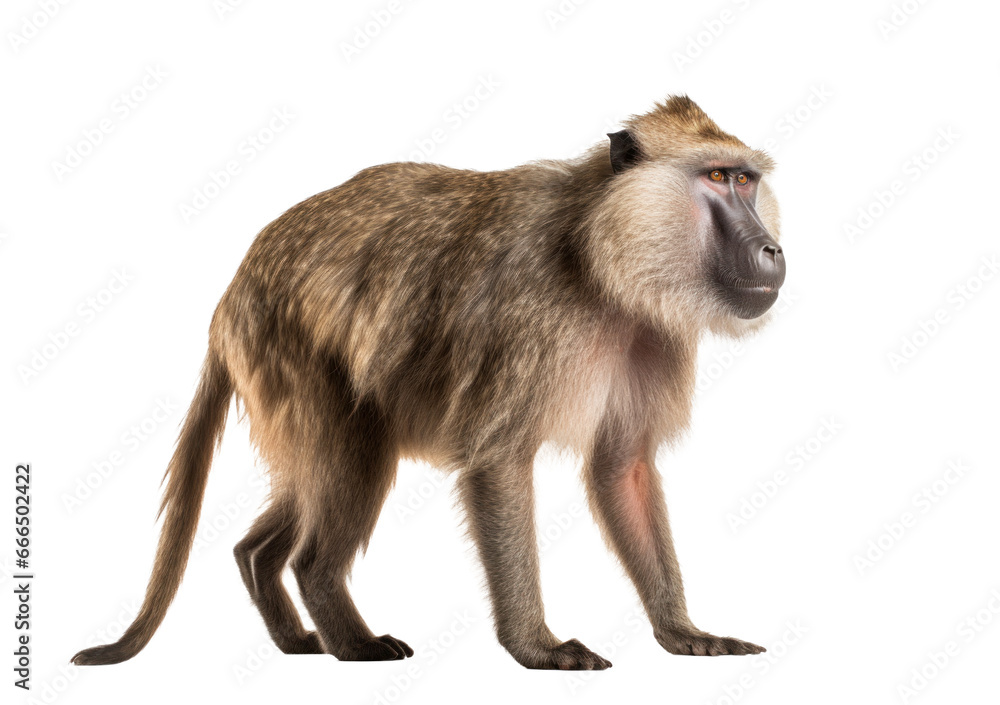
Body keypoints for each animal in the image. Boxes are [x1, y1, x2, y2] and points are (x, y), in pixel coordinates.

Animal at [71, 95, 785, 671]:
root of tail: (231, 294)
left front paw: (682, 631)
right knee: (352, 459)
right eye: (717, 178)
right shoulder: (536, 318)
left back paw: (276, 591)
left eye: (746, 180)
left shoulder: (654, 338)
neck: (598, 255)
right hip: (286, 350)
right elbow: (499, 460)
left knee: (305, 487)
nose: (772, 248)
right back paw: (349, 637)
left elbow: (622, 469)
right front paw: (538, 647)